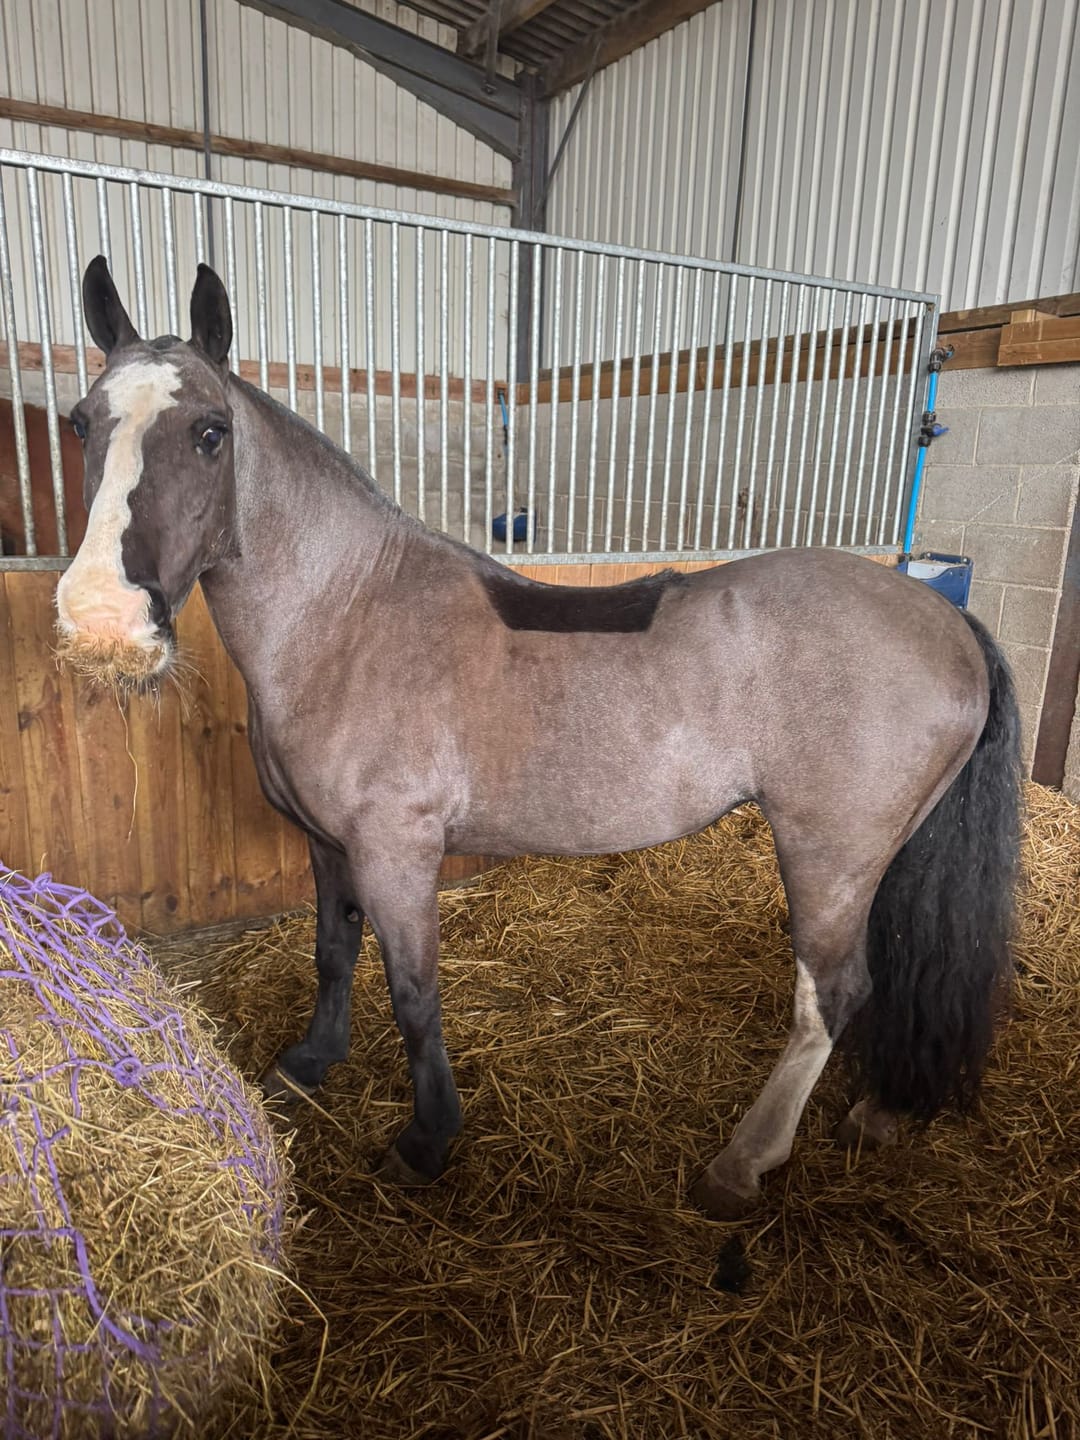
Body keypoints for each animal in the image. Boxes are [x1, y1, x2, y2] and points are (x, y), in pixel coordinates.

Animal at [54, 257, 1022, 1220]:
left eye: (210, 432)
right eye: (80, 423)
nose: (104, 618)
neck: (349, 614)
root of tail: (946, 619)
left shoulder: (397, 851)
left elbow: (413, 993)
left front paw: (427, 1140)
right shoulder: (327, 845)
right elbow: (334, 954)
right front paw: (309, 1065)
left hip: (830, 856)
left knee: (834, 992)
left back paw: (743, 1163)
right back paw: (884, 1108)